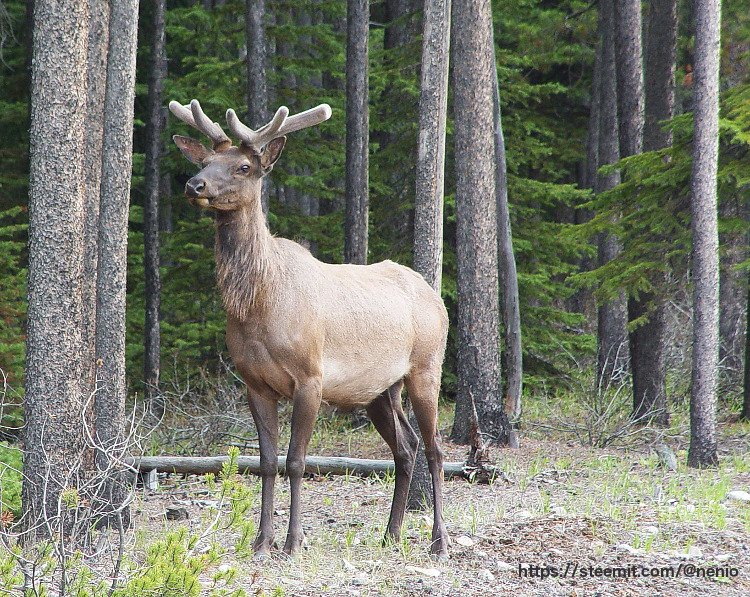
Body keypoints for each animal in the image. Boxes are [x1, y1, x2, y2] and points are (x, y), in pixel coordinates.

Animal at [171, 99, 452, 560]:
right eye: (206, 161)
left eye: (244, 167)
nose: (194, 185)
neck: (260, 304)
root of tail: (438, 299)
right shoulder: (254, 383)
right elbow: (267, 463)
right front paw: (261, 541)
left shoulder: (311, 378)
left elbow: (296, 462)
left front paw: (292, 542)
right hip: (380, 389)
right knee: (405, 448)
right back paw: (390, 534)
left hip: (426, 366)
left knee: (434, 449)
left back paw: (438, 543)